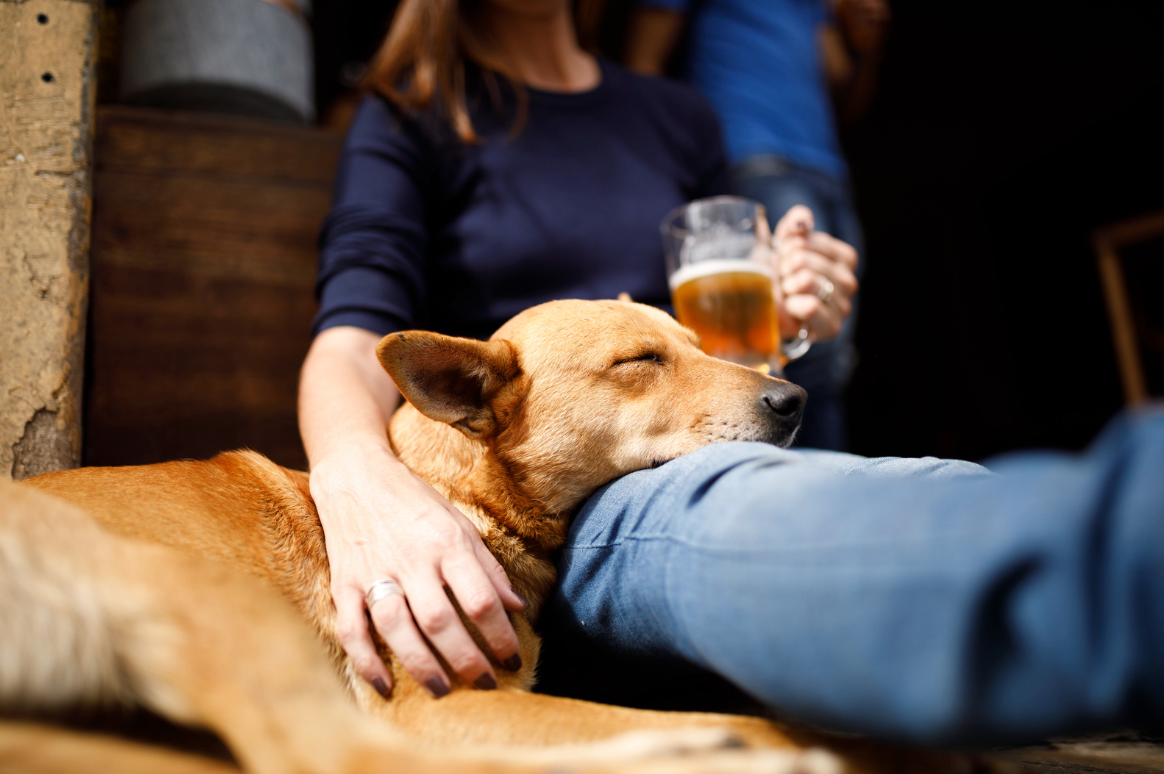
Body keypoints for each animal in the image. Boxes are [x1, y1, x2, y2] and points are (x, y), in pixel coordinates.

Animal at [11, 300, 963, 772]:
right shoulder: (445, 704)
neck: (453, 492)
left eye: (696, 344)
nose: (793, 400)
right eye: (639, 362)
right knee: (335, 757)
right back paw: (714, 754)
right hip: (208, 596)